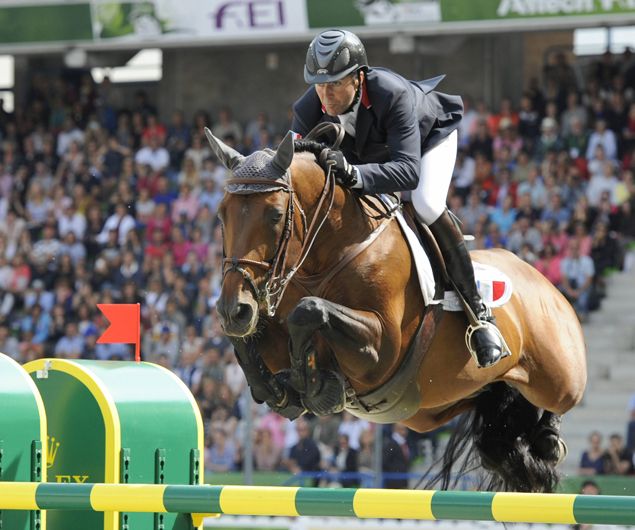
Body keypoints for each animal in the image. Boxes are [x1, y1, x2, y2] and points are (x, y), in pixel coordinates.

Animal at [206, 128, 588, 490]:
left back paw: (548, 435)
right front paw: (280, 392)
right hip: (438, 408)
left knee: (563, 399)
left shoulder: (381, 349)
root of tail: (546, 285)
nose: (233, 309)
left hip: (557, 377)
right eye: (222, 215)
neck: (328, 254)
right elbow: (248, 341)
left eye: (274, 215)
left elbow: (310, 310)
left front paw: (314, 387)